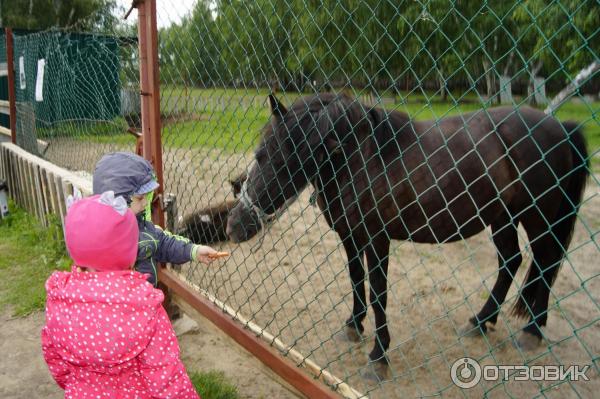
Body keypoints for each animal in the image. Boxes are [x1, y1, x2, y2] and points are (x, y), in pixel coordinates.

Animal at [225, 93, 584, 378]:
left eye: (275, 159)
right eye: (260, 154)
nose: (234, 226)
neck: (363, 159)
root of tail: (561, 127)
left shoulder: (377, 239)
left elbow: (377, 293)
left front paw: (379, 356)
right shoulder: (350, 236)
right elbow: (355, 279)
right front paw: (353, 325)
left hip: (538, 219)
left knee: (545, 262)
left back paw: (532, 330)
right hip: (503, 218)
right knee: (511, 262)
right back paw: (481, 322)